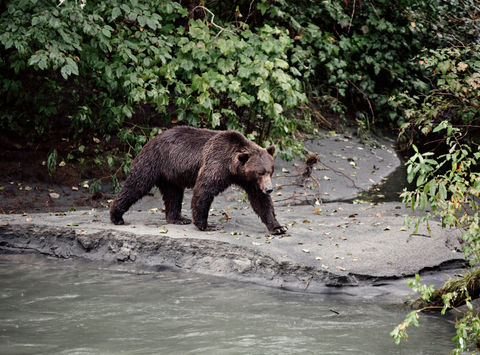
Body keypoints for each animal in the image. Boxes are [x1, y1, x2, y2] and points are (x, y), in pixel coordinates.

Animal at [109, 126, 284, 235]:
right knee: (136, 185)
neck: (234, 169)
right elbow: (204, 190)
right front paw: (207, 225)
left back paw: (178, 218)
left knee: (173, 195)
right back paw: (116, 216)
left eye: (270, 171)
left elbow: (261, 201)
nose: (269, 189)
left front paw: (278, 227)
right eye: (260, 172)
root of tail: (151, 140)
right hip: (154, 162)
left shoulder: (249, 182)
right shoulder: (216, 164)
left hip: (171, 175)